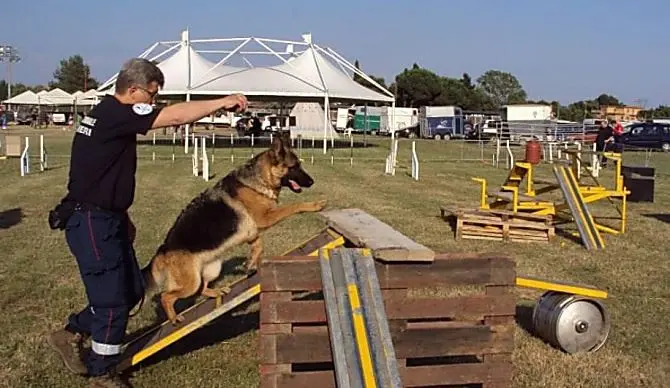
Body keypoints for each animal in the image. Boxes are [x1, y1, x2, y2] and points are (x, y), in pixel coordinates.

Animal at [143, 133, 326, 324]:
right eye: (294, 167)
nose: (312, 182)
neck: (260, 179)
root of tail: (162, 250)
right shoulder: (265, 218)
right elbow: (293, 206)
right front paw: (314, 205)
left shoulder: (252, 232)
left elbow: (259, 246)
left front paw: (250, 263)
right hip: (190, 283)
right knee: (166, 296)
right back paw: (173, 317)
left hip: (212, 270)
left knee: (202, 288)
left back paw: (216, 291)